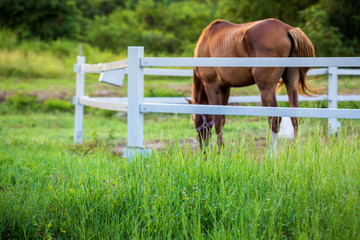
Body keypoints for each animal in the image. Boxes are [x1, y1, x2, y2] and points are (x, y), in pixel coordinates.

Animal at [190, 18, 314, 150]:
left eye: (195, 119)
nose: (203, 148)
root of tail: (287, 29)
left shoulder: (212, 85)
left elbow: (217, 120)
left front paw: (220, 152)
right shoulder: (225, 88)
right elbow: (222, 120)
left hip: (266, 88)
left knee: (274, 121)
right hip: (291, 82)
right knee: (295, 117)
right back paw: (296, 150)